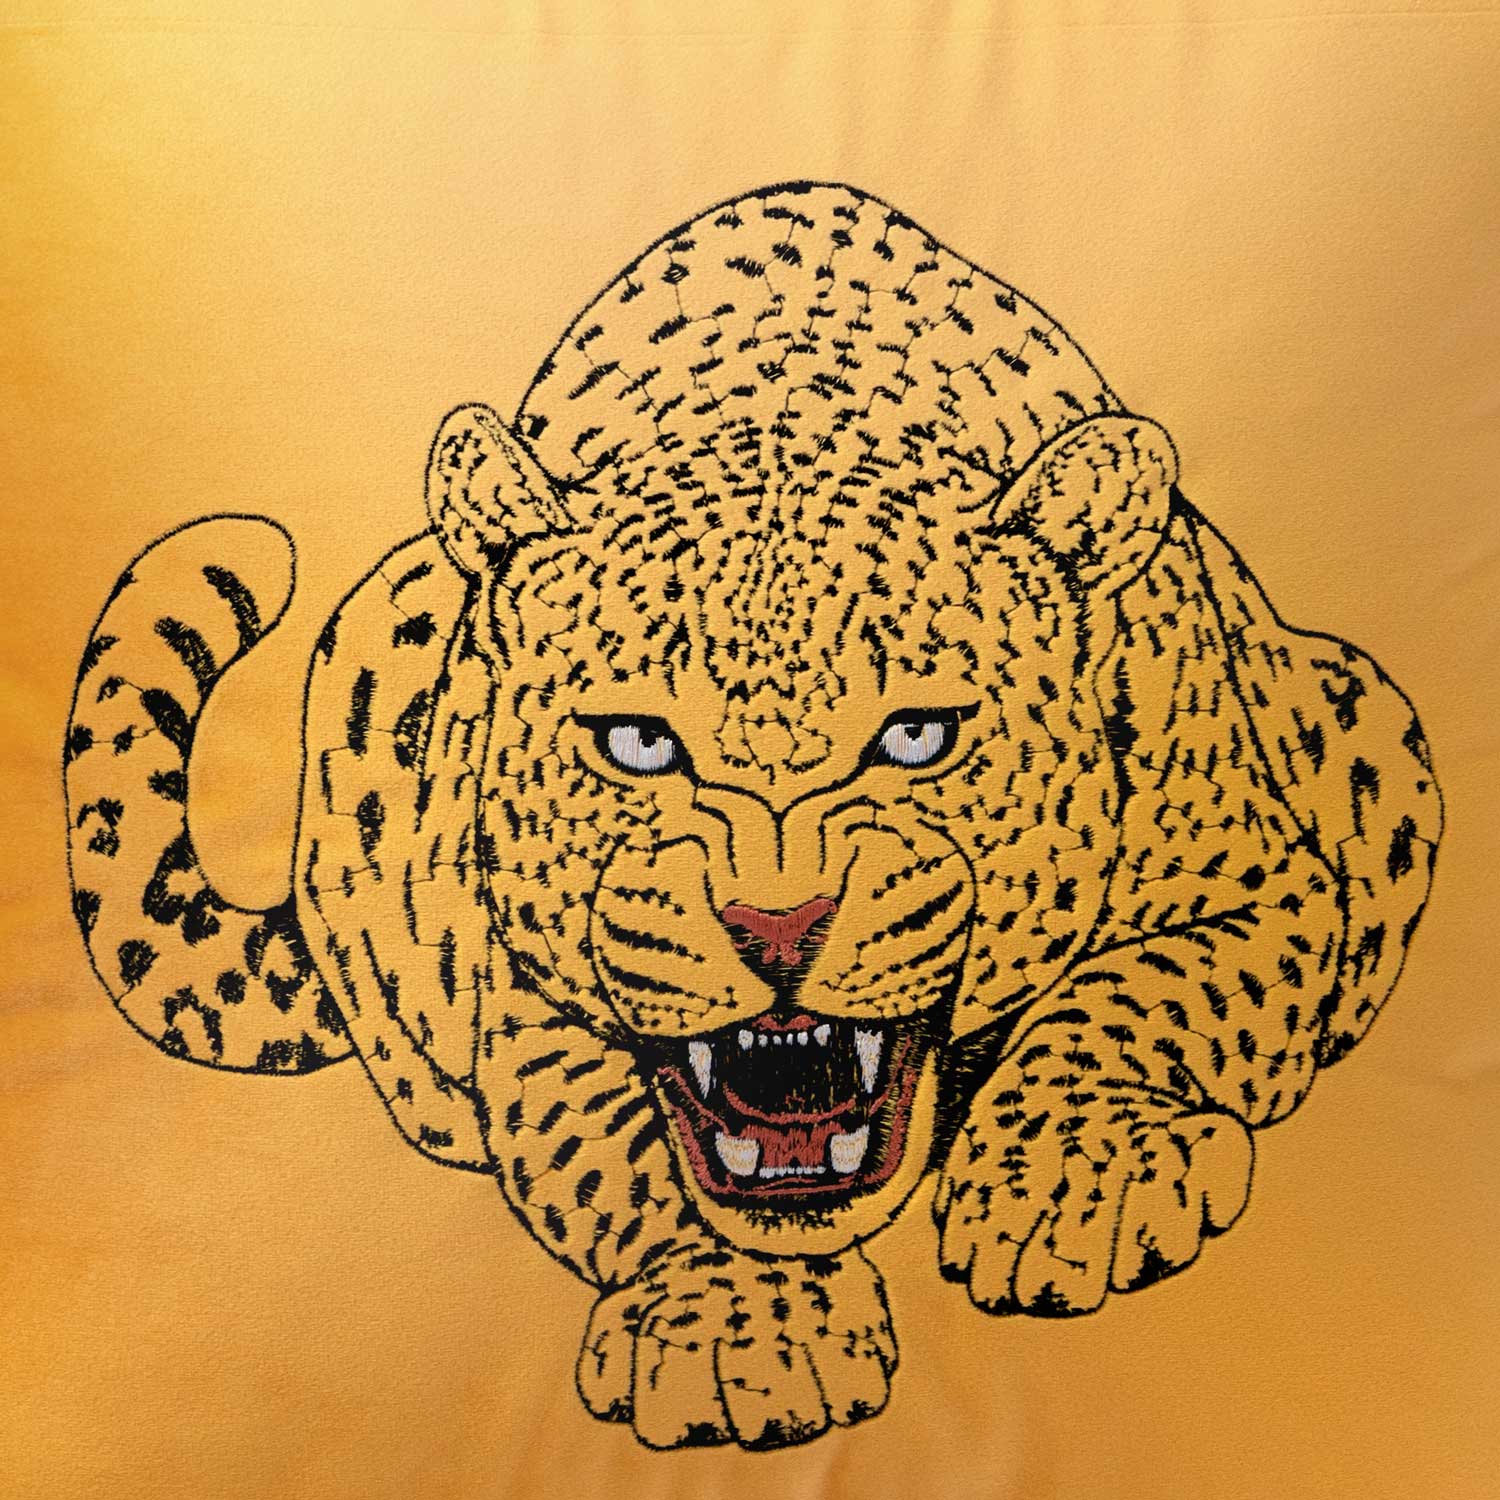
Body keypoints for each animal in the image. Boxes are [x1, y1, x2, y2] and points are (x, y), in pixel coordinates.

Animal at [63, 181, 1442, 1451]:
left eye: (917, 736)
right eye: (637, 742)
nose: (779, 926)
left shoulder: (1270, 881)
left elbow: (1142, 993)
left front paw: (1070, 1181)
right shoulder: (531, 996)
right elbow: (616, 1138)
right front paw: (742, 1326)